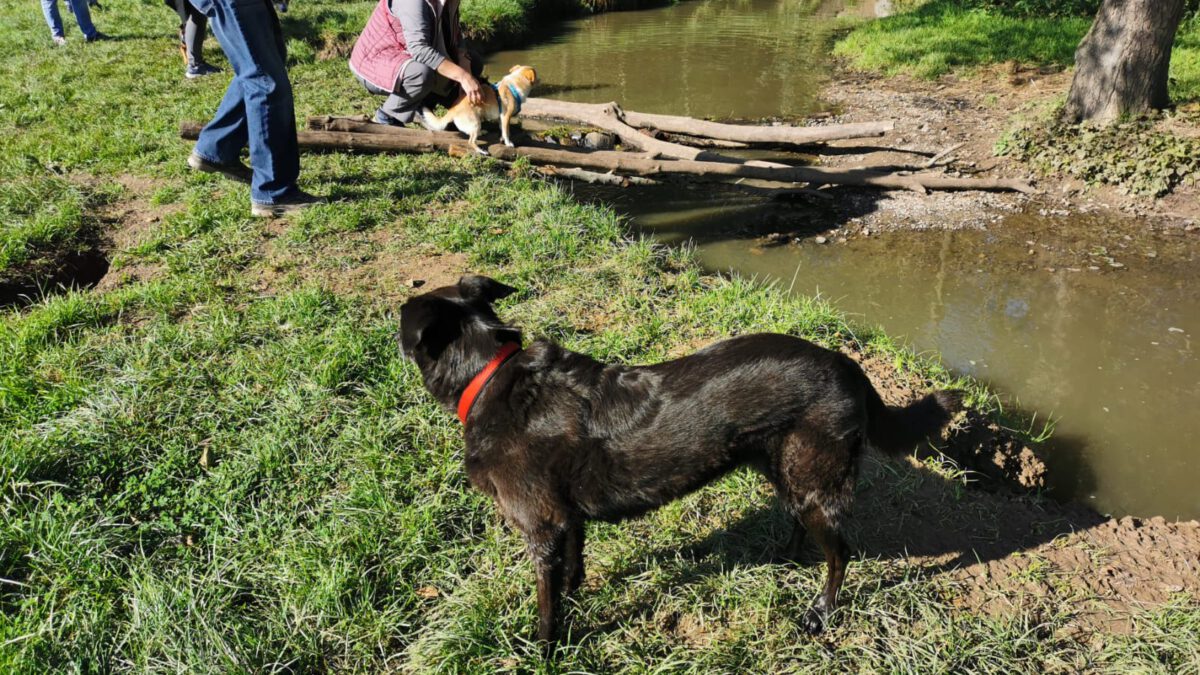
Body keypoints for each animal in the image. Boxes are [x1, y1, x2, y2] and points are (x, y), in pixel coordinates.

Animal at [398, 273, 960, 638]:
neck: (490, 374)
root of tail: (848, 365)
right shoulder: (566, 521)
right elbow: (572, 572)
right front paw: (577, 600)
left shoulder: (540, 527)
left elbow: (545, 607)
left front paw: (545, 649)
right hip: (787, 472)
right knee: (803, 525)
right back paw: (782, 556)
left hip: (816, 479)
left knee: (841, 553)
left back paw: (819, 613)